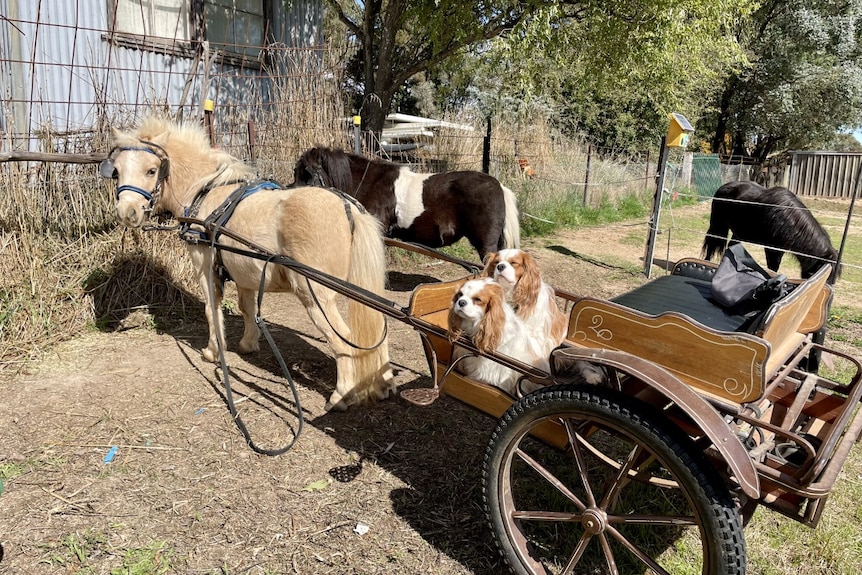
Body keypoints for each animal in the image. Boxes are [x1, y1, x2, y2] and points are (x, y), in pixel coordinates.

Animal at [486, 249, 608, 388]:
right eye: (496, 262)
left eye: (514, 263)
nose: (500, 266)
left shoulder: (536, 338)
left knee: (583, 364)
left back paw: (593, 376)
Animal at [704, 181, 840, 282]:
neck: (787, 218)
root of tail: (723, 187)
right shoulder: (772, 249)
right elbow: (773, 268)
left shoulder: (780, 250)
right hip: (717, 225)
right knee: (711, 246)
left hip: (737, 232)